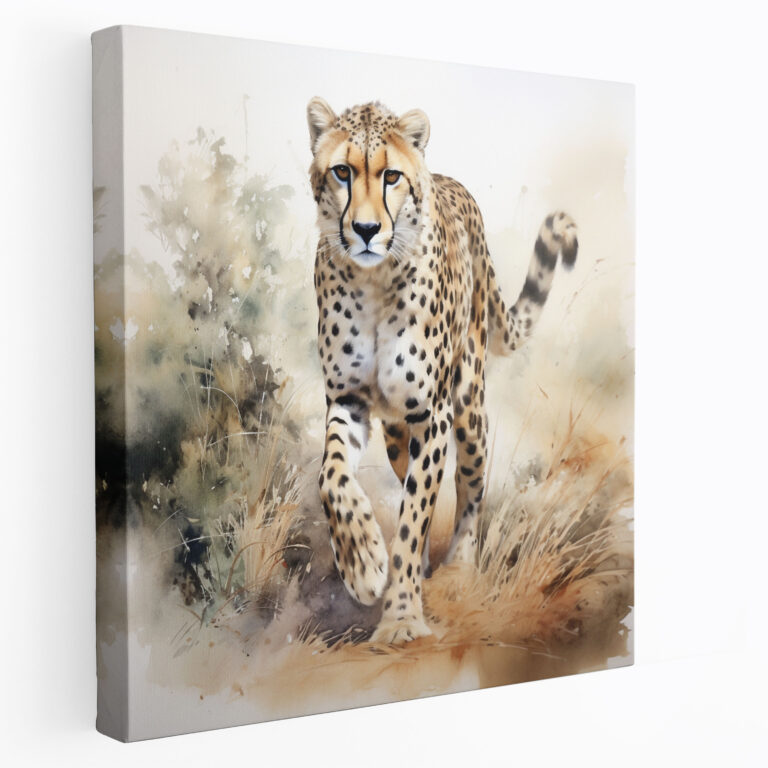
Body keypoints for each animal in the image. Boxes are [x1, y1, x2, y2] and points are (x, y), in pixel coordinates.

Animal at [307, 98, 578, 644]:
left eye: (390, 176)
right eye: (342, 172)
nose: (365, 231)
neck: (372, 282)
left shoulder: (430, 415)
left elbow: (413, 519)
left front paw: (400, 617)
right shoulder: (348, 401)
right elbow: (332, 476)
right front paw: (362, 564)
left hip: (468, 406)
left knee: (470, 486)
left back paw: (458, 569)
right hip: (396, 434)